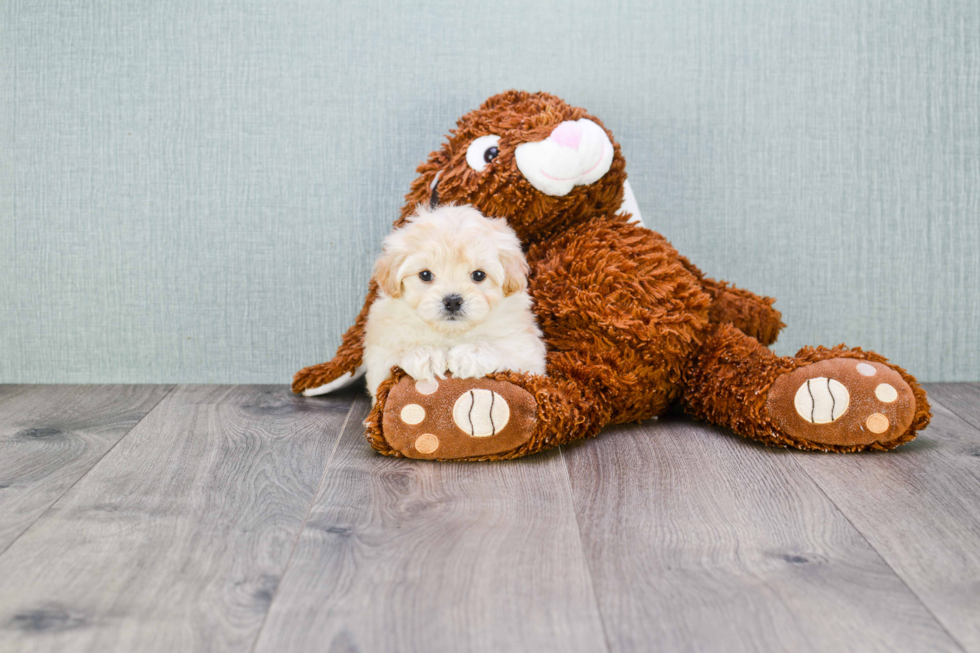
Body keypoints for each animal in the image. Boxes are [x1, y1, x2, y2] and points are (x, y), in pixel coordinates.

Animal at [364, 204, 548, 400]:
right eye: (425, 275)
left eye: (479, 275)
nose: (452, 301)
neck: (451, 333)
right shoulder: (380, 354)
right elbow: (394, 356)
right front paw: (426, 354)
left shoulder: (527, 352)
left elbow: (505, 350)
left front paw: (470, 354)